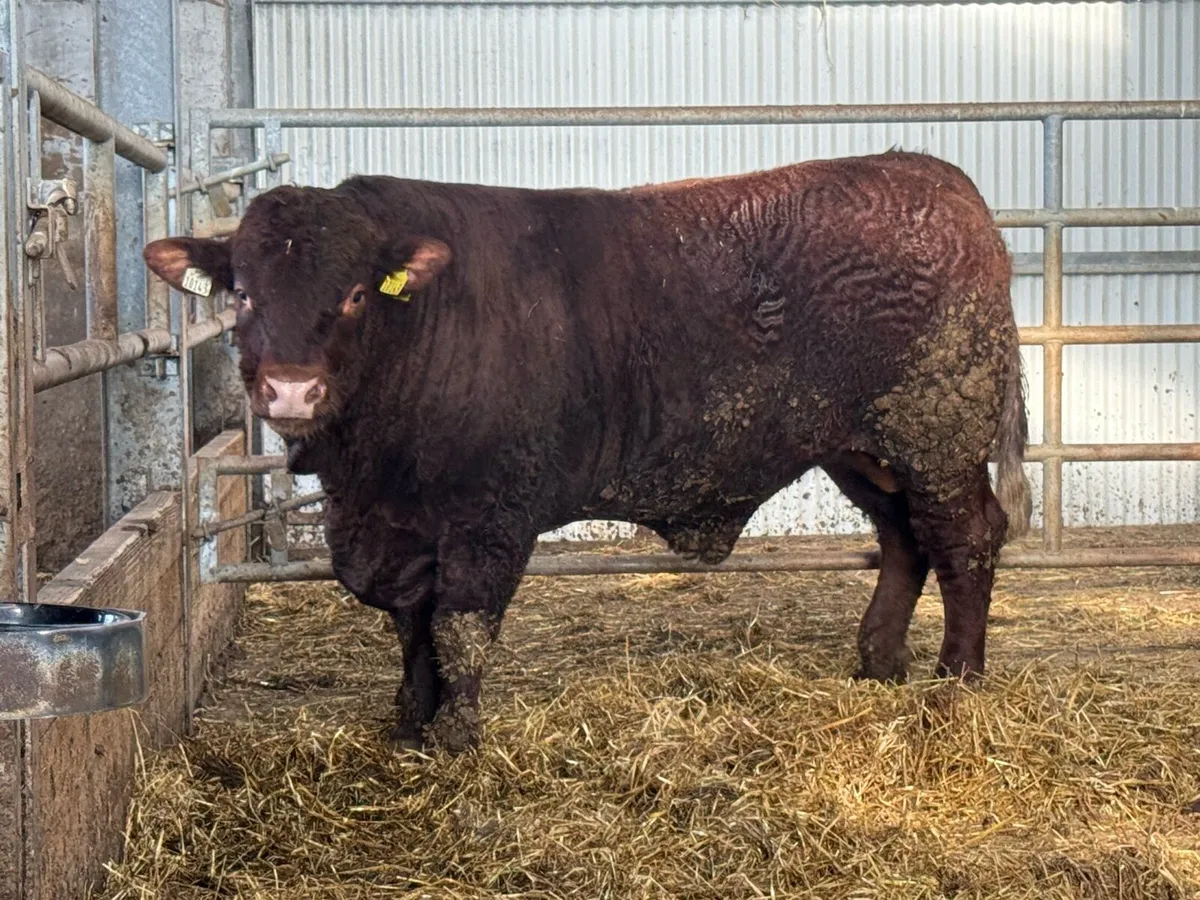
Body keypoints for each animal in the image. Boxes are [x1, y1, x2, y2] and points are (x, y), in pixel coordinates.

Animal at [145, 150, 1032, 753]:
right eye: (243, 293)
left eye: (358, 293)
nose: (291, 390)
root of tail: (935, 178)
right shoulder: (402, 528)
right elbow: (411, 625)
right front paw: (410, 722)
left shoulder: (490, 515)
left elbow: (460, 625)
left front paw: (457, 737)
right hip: (863, 449)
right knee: (903, 539)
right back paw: (878, 660)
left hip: (937, 436)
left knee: (964, 539)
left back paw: (957, 680)